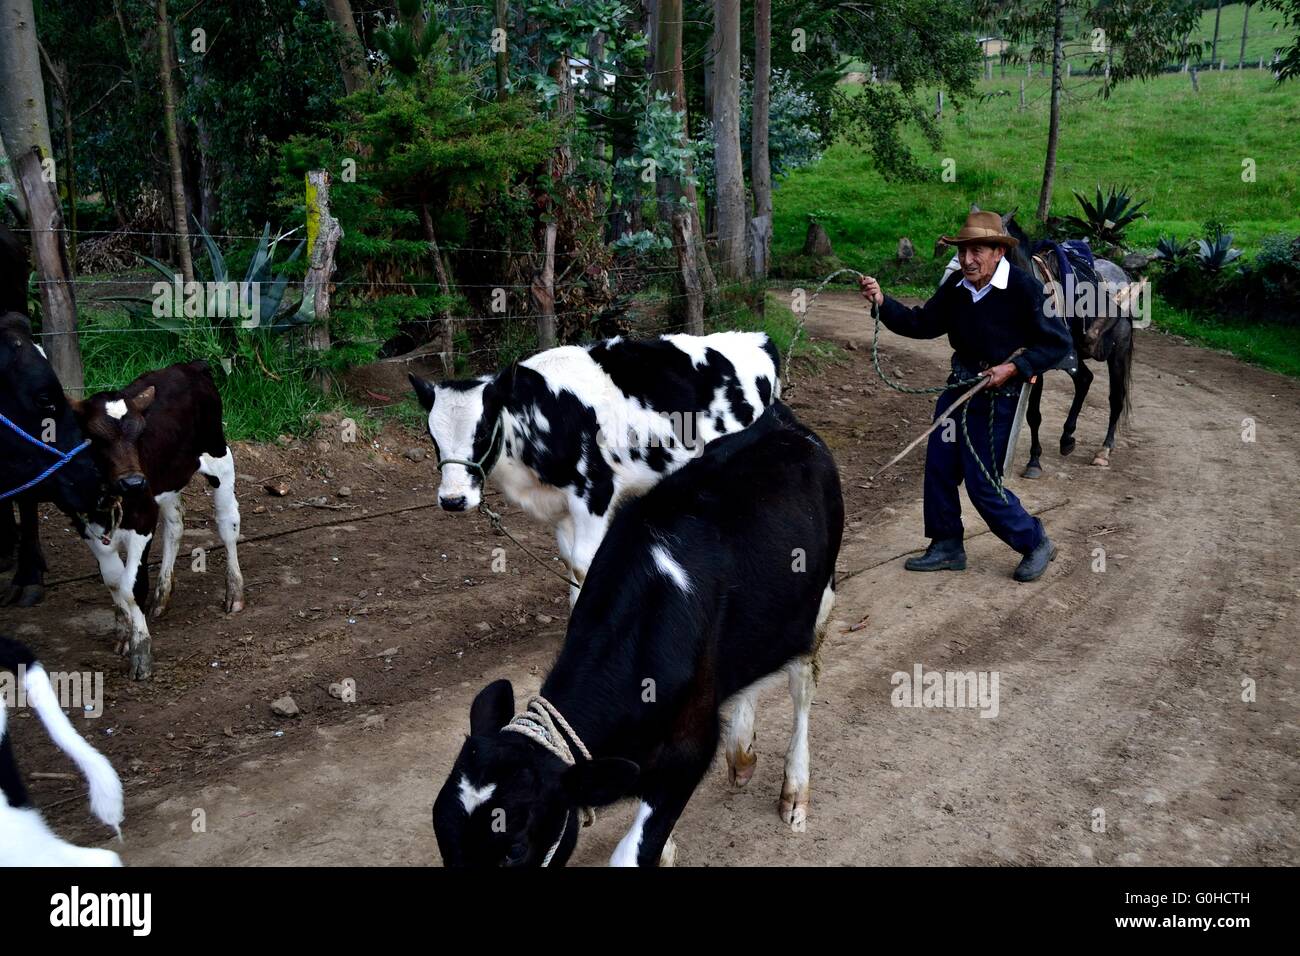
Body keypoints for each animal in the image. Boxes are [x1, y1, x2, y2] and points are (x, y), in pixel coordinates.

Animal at [413, 329, 780, 598]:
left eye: (483, 429)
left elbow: (584, 563)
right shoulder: (559, 507)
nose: (453, 499)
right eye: (432, 435)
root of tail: (756, 337)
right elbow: (569, 564)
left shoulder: (594, 492)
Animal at [431, 403, 847, 868]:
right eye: (441, 831)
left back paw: (795, 790)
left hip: (818, 599)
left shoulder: (690, 747)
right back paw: (741, 753)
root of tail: (779, 418)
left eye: (515, 850)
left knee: (802, 686)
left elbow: (631, 853)